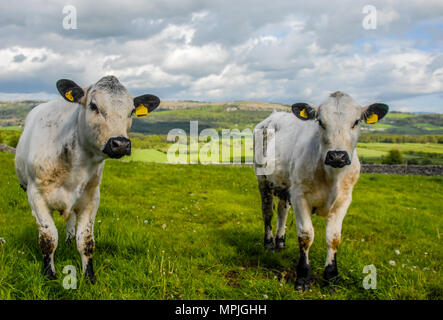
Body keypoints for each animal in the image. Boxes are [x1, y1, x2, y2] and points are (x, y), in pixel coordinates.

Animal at [15, 75, 161, 282]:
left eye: (132, 110)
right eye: (93, 105)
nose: (121, 144)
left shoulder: (91, 197)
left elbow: (85, 240)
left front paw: (89, 277)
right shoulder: (36, 195)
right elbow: (48, 237)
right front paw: (49, 274)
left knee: (70, 221)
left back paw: (69, 239)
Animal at [253, 90, 388, 290]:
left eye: (356, 121)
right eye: (320, 121)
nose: (337, 156)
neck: (332, 176)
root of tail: (273, 116)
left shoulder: (344, 200)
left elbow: (334, 238)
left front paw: (331, 278)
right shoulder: (300, 196)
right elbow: (306, 235)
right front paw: (302, 278)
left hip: (285, 186)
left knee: (282, 213)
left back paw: (280, 242)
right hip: (263, 180)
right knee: (268, 212)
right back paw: (269, 243)